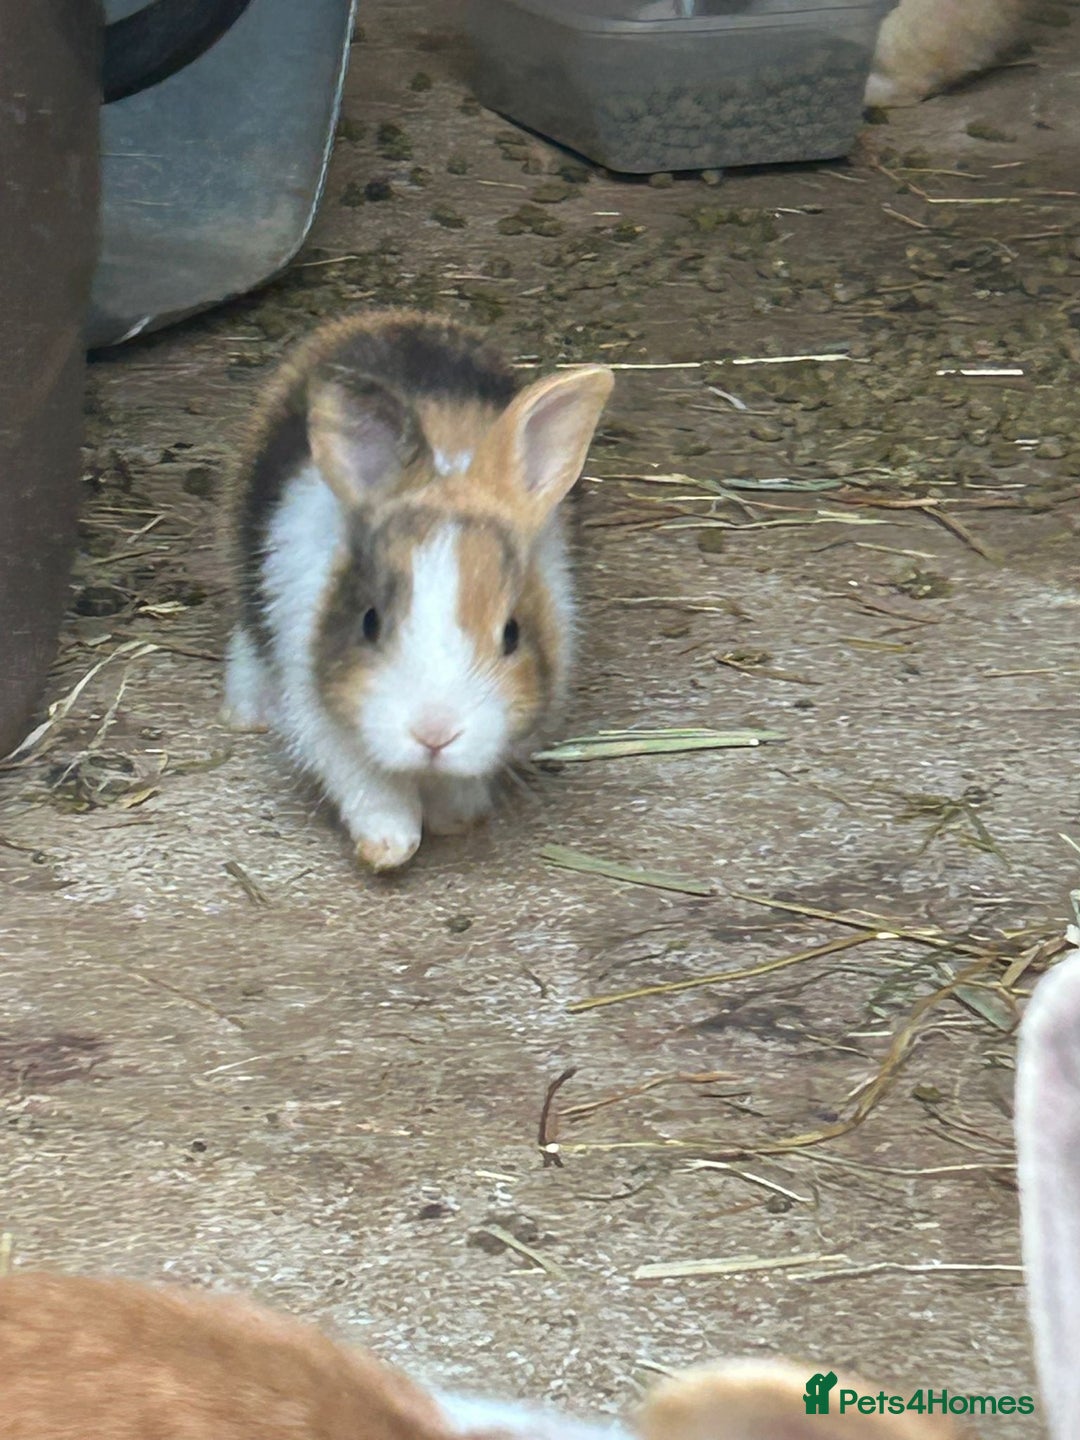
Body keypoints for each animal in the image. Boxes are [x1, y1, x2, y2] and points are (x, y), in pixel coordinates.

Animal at [224, 309, 614, 872]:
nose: (434, 734)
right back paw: (246, 715)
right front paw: (389, 847)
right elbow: (367, 785)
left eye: (512, 634)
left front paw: (455, 819)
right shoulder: (322, 715)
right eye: (370, 622)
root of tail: (387, 317)